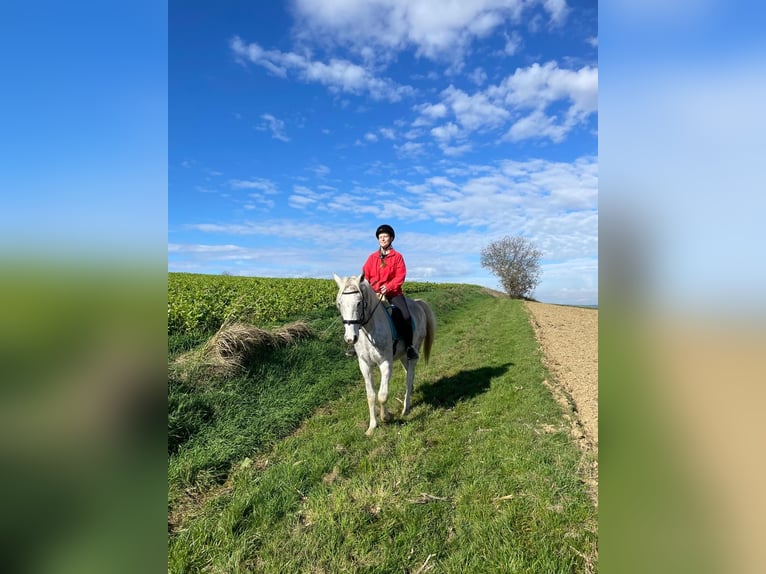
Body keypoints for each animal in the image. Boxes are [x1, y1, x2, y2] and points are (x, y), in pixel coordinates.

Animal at [332, 274, 436, 436]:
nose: (350, 338)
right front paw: (372, 427)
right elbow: (371, 396)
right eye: (340, 304)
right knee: (408, 373)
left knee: (409, 377)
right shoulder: (365, 365)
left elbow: (382, 395)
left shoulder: (385, 363)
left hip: (414, 351)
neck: (369, 330)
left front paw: (386, 417)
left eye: (359, 303)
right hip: (402, 356)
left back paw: (406, 408)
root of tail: (418, 304)